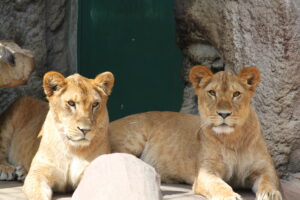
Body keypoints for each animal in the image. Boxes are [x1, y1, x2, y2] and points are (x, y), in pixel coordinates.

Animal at [109, 66, 282, 200]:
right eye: (212, 92)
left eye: (236, 94)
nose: (224, 114)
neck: (233, 138)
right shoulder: (206, 171)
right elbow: (219, 185)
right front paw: (230, 196)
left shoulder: (265, 168)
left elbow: (268, 181)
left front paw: (271, 194)